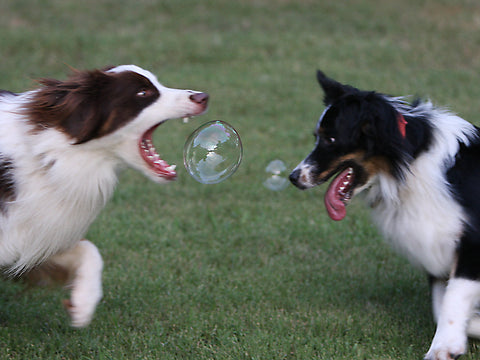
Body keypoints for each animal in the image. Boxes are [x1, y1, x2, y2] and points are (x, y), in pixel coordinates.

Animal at [0, 64, 209, 326]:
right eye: (143, 92)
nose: (203, 97)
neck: (47, 155)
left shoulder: (34, 234)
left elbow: (90, 251)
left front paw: (83, 303)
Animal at [290, 71, 480, 360]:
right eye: (317, 136)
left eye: (330, 139)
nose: (292, 177)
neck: (411, 163)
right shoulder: (434, 245)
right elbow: (441, 305)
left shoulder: (470, 244)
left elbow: (454, 297)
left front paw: (443, 347)